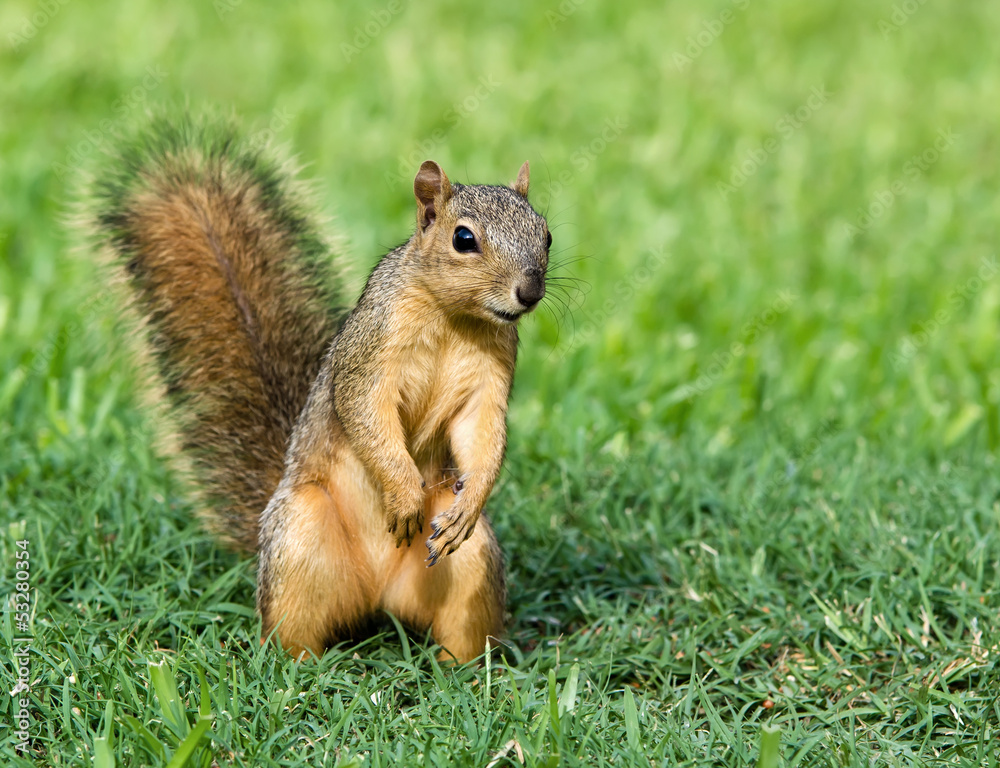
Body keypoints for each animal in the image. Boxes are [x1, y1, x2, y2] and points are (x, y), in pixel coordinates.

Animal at [89, 117, 552, 664]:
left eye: (546, 235)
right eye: (463, 238)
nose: (529, 292)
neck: (455, 317)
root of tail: (380, 597)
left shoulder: (489, 377)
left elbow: (481, 433)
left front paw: (471, 500)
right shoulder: (367, 354)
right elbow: (366, 411)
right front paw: (403, 496)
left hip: (471, 563)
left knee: (462, 627)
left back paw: (470, 670)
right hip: (299, 537)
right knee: (291, 630)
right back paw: (291, 667)